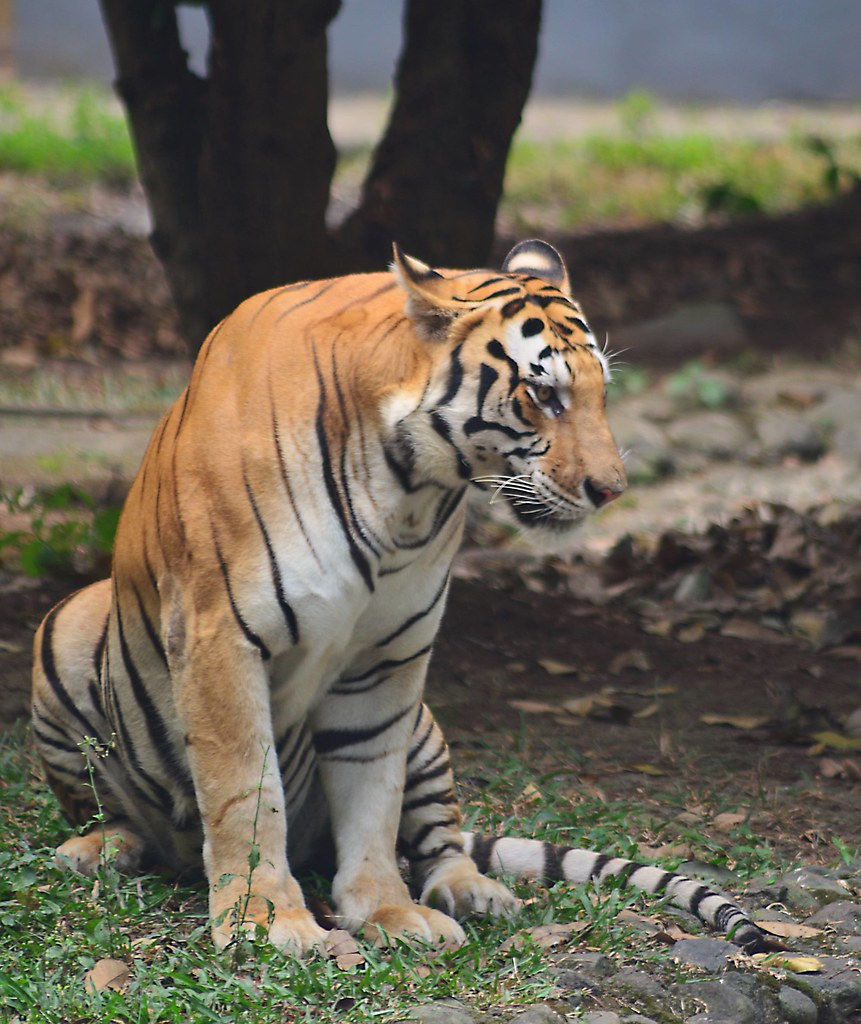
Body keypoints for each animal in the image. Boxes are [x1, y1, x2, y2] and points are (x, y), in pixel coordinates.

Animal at [31, 239, 767, 955]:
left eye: (600, 394)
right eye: (542, 393)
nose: (611, 491)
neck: (404, 485)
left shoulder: (389, 658)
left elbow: (373, 795)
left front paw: (386, 908)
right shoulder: (221, 636)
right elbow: (245, 793)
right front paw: (266, 921)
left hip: (426, 729)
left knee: (442, 838)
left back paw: (474, 892)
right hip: (64, 627)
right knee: (120, 815)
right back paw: (99, 849)